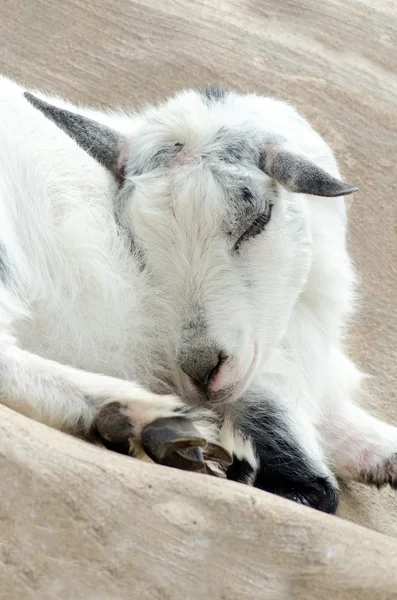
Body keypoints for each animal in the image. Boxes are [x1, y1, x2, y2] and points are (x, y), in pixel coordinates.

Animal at [0, 77, 396, 512]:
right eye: (136, 238)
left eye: (258, 219)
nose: (203, 370)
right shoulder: (268, 384)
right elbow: (313, 486)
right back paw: (155, 425)